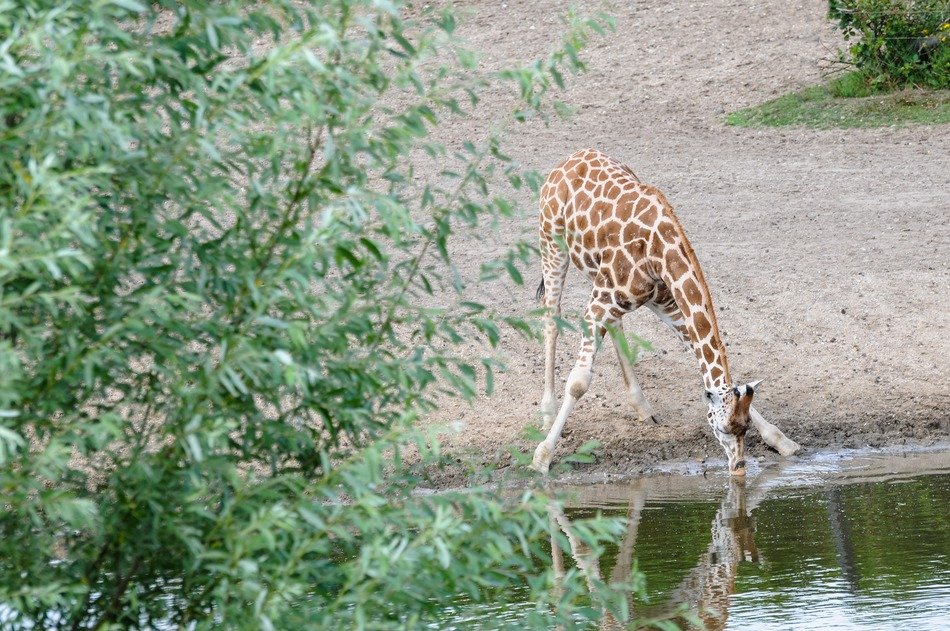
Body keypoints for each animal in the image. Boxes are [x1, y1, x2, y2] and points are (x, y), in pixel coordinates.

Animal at [532, 148, 791, 476]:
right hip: (552, 245)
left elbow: (704, 361)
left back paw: (643, 408)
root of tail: (570, 158)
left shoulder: (666, 303)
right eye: (721, 429)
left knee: (614, 324)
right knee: (551, 317)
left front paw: (781, 440)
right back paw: (546, 414)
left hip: (601, 279)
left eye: (744, 427)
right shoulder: (598, 305)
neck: (661, 252)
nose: (738, 469)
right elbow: (578, 383)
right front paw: (542, 456)